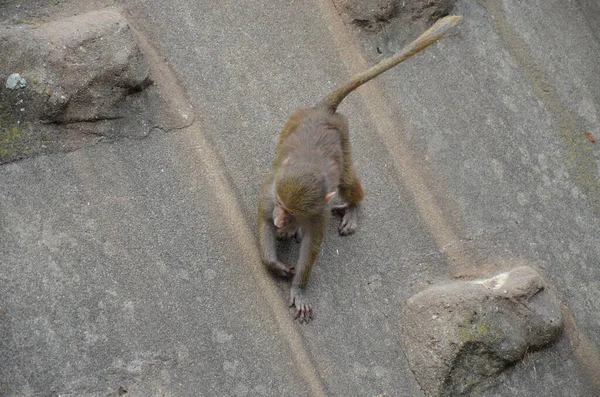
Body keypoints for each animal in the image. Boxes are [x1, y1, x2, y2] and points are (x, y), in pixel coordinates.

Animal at [256, 14, 460, 322]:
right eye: (280, 205)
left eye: (291, 211)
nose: (282, 220)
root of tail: (323, 112)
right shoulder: (271, 190)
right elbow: (263, 220)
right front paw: (274, 262)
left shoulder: (316, 213)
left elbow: (310, 246)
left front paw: (299, 288)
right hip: (295, 119)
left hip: (343, 134)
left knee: (347, 181)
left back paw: (352, 207)